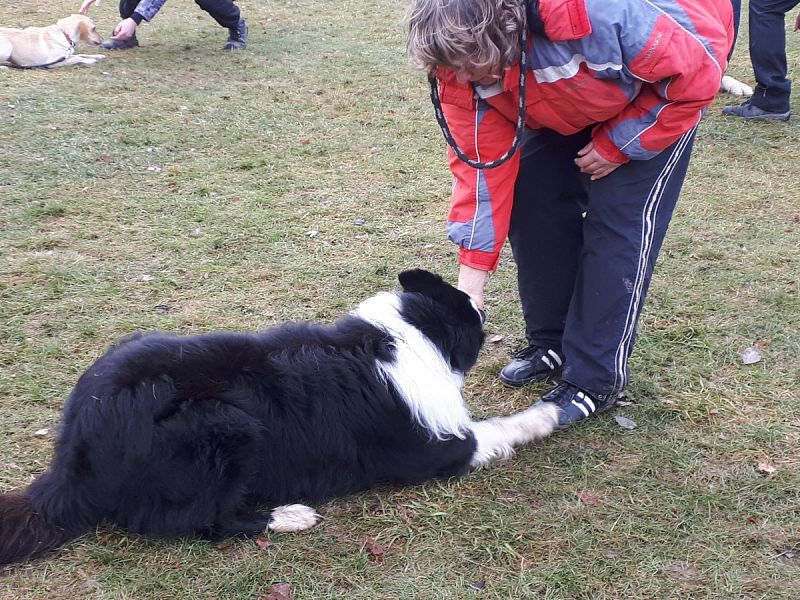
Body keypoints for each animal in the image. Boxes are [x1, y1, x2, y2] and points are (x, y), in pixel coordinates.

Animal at [0, 270, 556, 564]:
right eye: (467, 307)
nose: (483, 307)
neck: (408, 334)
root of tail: (74, 455)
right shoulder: (433, 450)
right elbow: (499, 427)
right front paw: (547, 414)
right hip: (225, 425)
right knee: (207, 521)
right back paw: (288, 515)